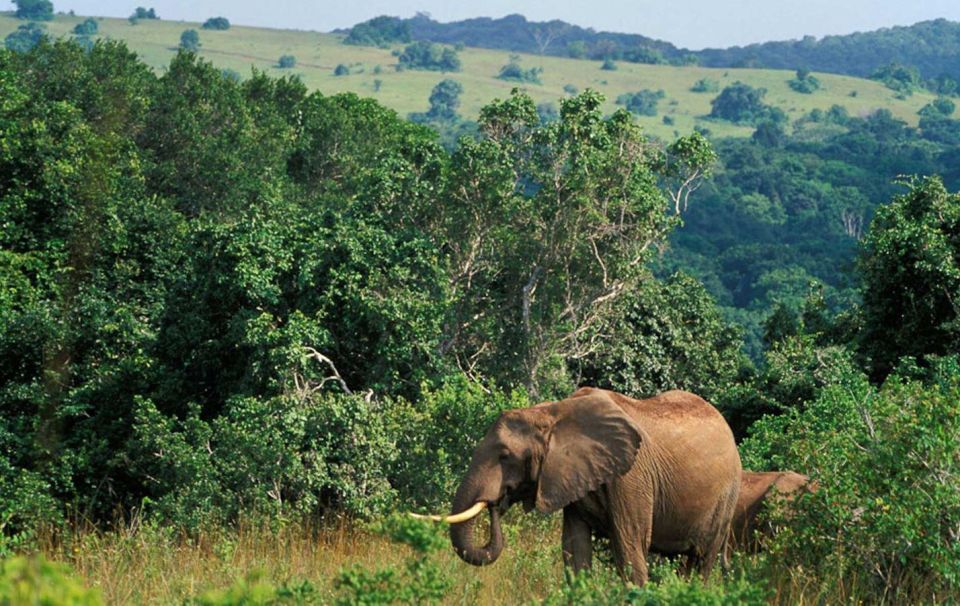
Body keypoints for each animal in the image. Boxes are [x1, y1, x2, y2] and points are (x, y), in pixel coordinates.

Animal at [414, 388, 744, 588]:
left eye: (505, 456)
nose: (496, 502)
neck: (551, 412)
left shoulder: (631, 476)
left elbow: (629, 547)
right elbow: (575, 550)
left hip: (728, 496)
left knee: (701, 560)